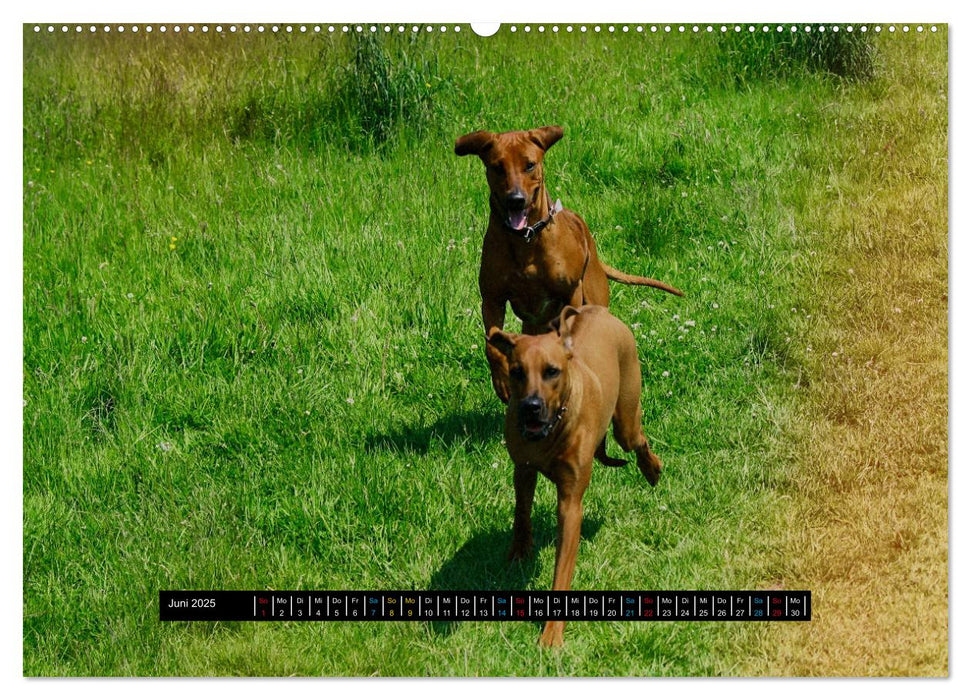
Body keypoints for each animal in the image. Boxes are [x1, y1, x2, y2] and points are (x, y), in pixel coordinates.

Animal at [458, 123, 680, 402]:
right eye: (497, 167)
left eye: (529, 165)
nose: (515, 200)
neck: (526, 239)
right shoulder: (492, 298)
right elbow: (492, 346)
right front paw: (503, 381)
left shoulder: (570, 293)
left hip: (594, 295)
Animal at [486, 304, 660, 644]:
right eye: (517, 371)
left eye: (552, 371)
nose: (531, 406)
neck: (551, 432)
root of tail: (598, 310)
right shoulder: (523, 469)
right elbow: (521, 513)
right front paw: (518, 554)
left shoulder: (570, 502)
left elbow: (562, 566)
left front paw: (551, 635)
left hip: (625, 419)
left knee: (638, 439)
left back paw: (653, 468)